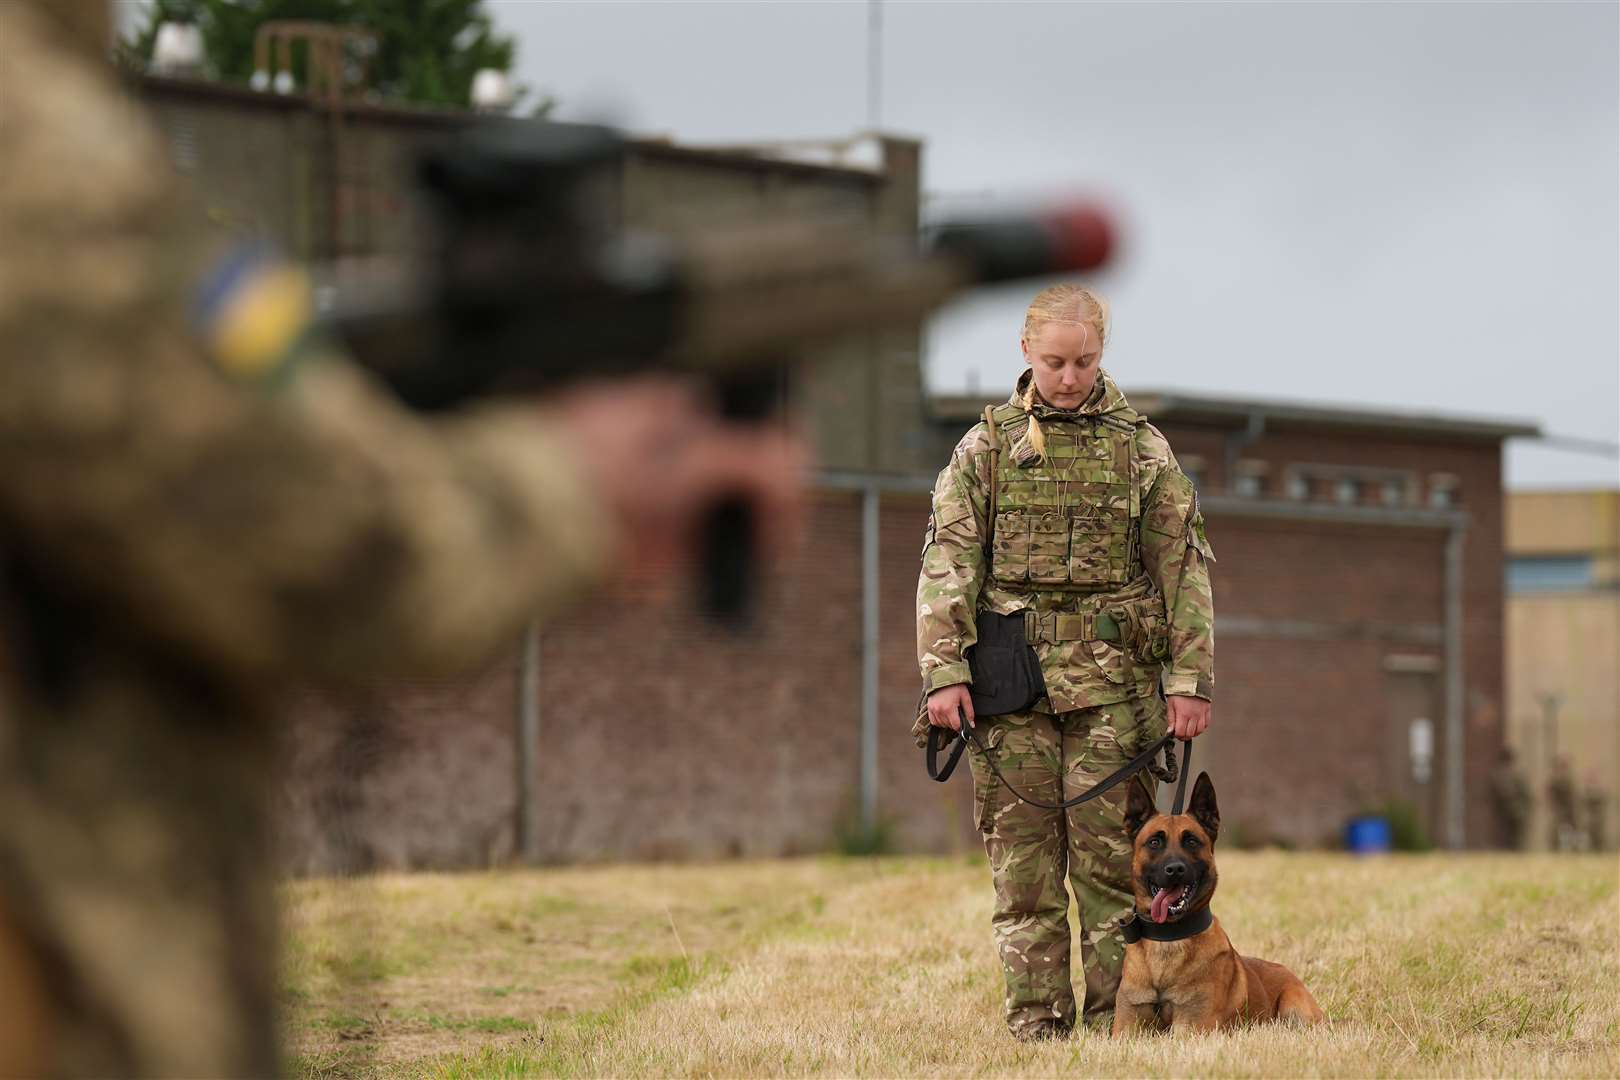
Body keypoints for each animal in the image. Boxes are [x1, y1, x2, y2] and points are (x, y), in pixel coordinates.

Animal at [1114, 773, 1328, 1036]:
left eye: (1191, 841)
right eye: (1154, 842)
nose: (1175, 869)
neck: (1168, 940)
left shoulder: (1190, 1029)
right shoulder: (1125, 1030)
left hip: (1295, 1007)